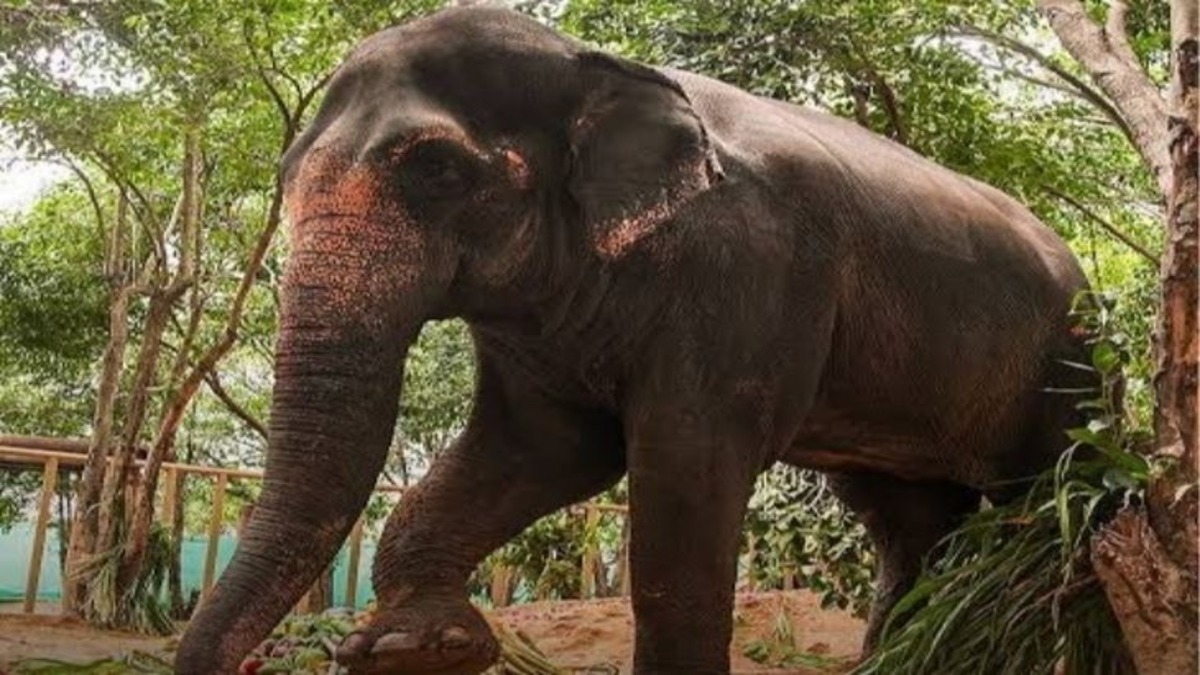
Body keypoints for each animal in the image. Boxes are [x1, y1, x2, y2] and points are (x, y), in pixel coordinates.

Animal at [176, 6, 1092, 674]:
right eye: (286, 174)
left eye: (435, 168)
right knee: (908, 523)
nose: (250, 660)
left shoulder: (748, 270)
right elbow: (543, 448)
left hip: (1070, 366)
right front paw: (417, 646)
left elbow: (682, 479)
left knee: (1052, 496)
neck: (597, 64)